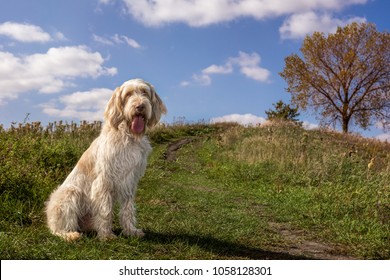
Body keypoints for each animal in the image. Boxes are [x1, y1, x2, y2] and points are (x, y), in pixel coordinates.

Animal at [46, 79, 168, 241]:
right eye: (128, 94)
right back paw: (70, 234)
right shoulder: (103, 181)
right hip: (70, 193)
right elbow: (105, 210)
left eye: (144, 92)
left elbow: (128, 209)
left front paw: (130, 231)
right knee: (56, 229)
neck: (128, 136)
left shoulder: (130, 181)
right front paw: (106, 235)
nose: (140, 106)